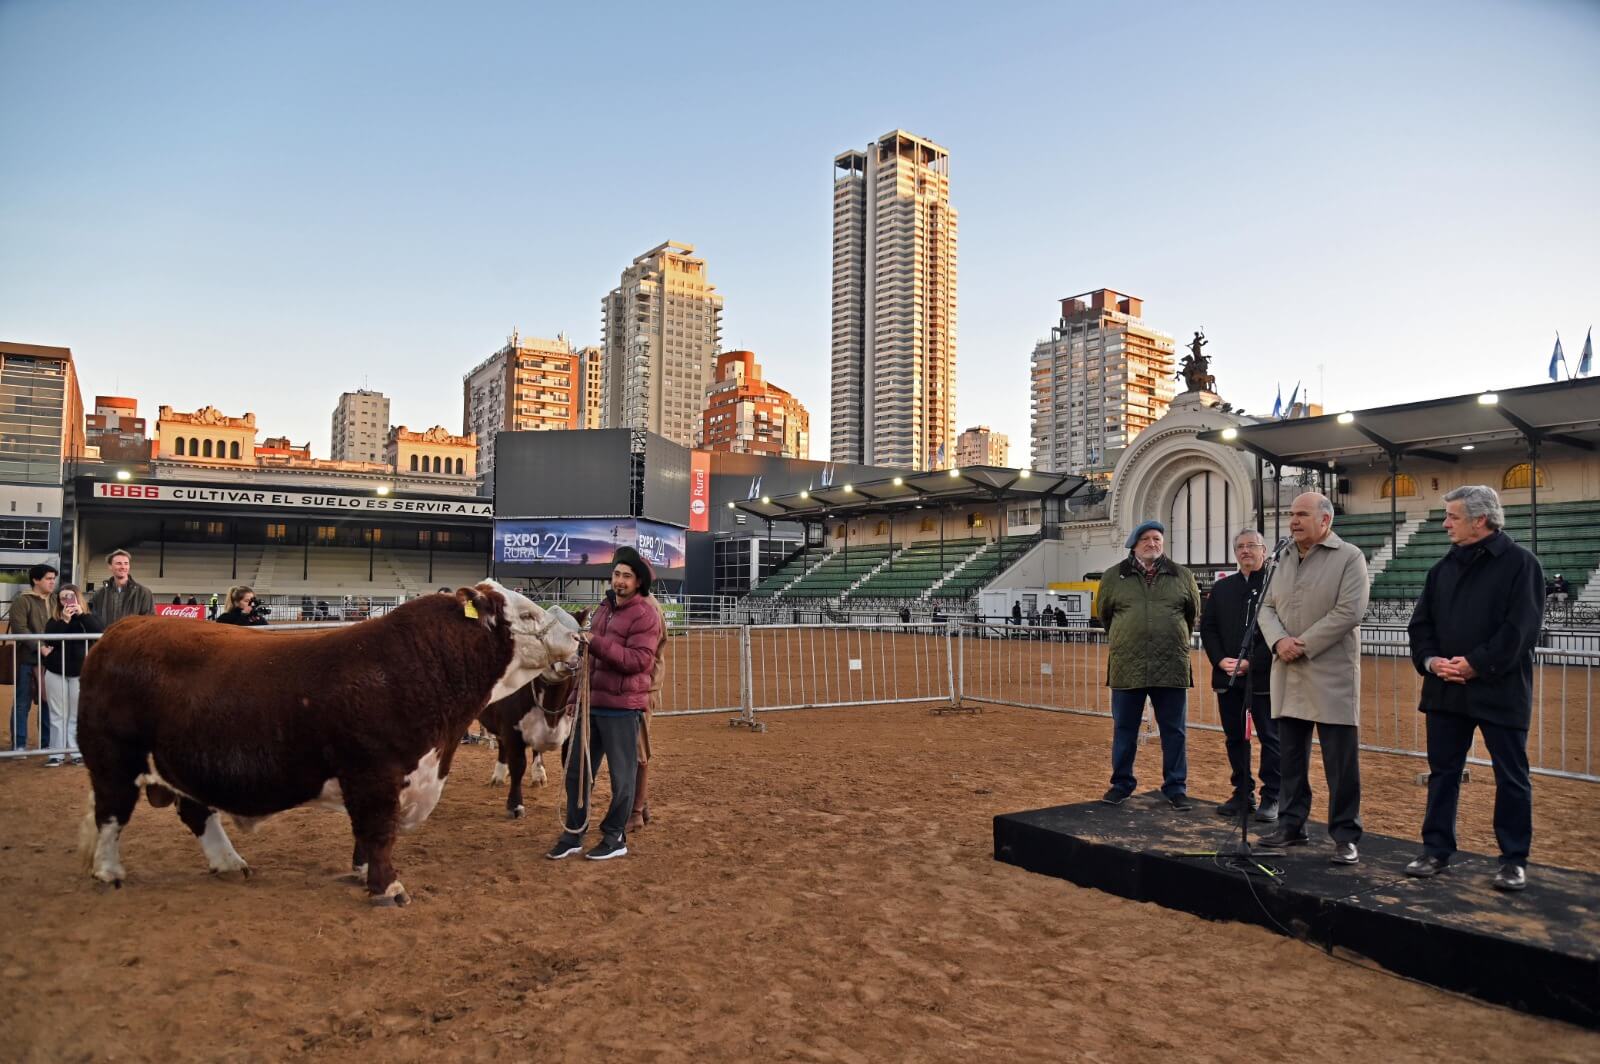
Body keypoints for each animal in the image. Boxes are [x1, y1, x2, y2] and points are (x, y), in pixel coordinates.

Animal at [76, 582, 582, 902]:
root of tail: (119, 632)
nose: (578, 636)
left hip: (181, 765)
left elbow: (369, 833)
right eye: (527, 613)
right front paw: (387, 887)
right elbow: (378, 831)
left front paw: (361, 872)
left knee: (197, 812)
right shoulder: (374, 773)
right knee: (112, 815)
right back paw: (108, 871)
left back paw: (229, 862)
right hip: (113, 760)